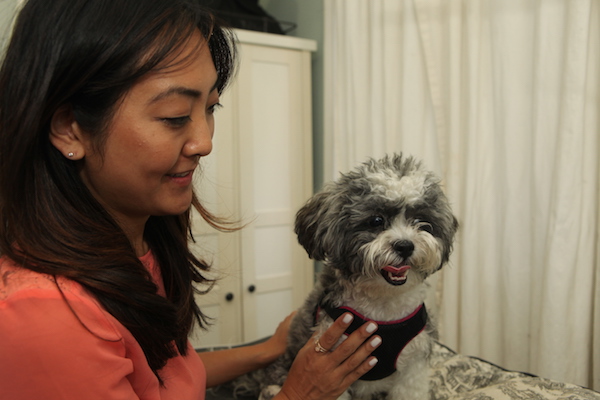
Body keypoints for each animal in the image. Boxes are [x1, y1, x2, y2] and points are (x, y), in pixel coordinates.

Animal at [232, 154, 458, 400]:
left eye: (421, 221)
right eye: (376, 221)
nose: (405, 246)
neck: (383, 310)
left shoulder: (412, 366)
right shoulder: (333, 368)